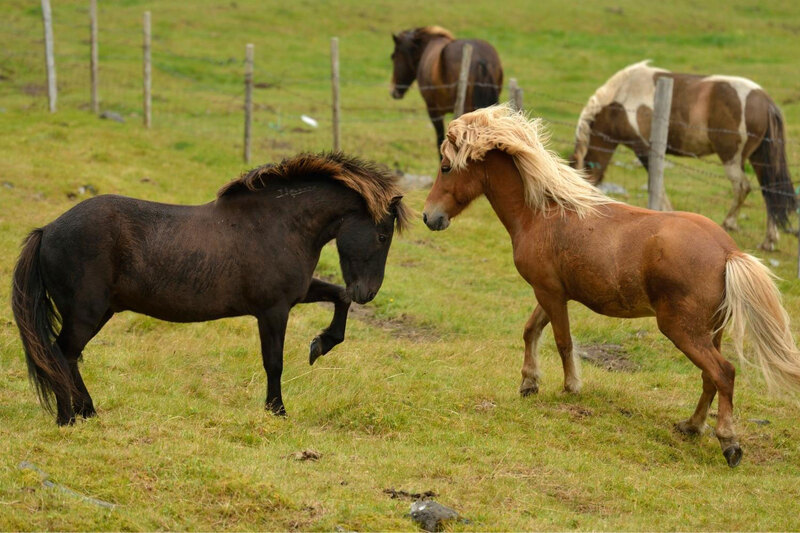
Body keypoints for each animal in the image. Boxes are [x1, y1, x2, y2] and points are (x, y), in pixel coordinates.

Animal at [12, 152, 412, 426]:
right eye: (382, 236)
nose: (368, 293)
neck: (280, 225)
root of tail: (48, 230)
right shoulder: (274, 309)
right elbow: (274, 362)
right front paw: (277, 410)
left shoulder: (296, 296)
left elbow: (338, 298)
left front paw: (320, 345)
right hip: (86, 312)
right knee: (59, 353)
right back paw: (67, 417)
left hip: (100, 311)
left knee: (69, 356)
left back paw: (87, 411)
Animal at [423, 104, 800, 467]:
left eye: (445, 167)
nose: (430, 217)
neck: (542, 215)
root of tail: (728, 251)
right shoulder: (552, 293)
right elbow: (531, 331)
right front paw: (529, 382)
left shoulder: (550, 293)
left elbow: (562, 341)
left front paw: (570, 387)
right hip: (710, 333)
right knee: (710, 377)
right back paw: (691, 426)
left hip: (683, 331)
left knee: (723, 373)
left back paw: (729, 442)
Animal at [571, 60, 797, 251]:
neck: (622, 99)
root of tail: (766, 101)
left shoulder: (644, 150)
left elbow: (656, 184)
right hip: (759, 159)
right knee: (770, 191)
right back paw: (768, 241)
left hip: (732, 158)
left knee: (742, 187)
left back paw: (729, 223)